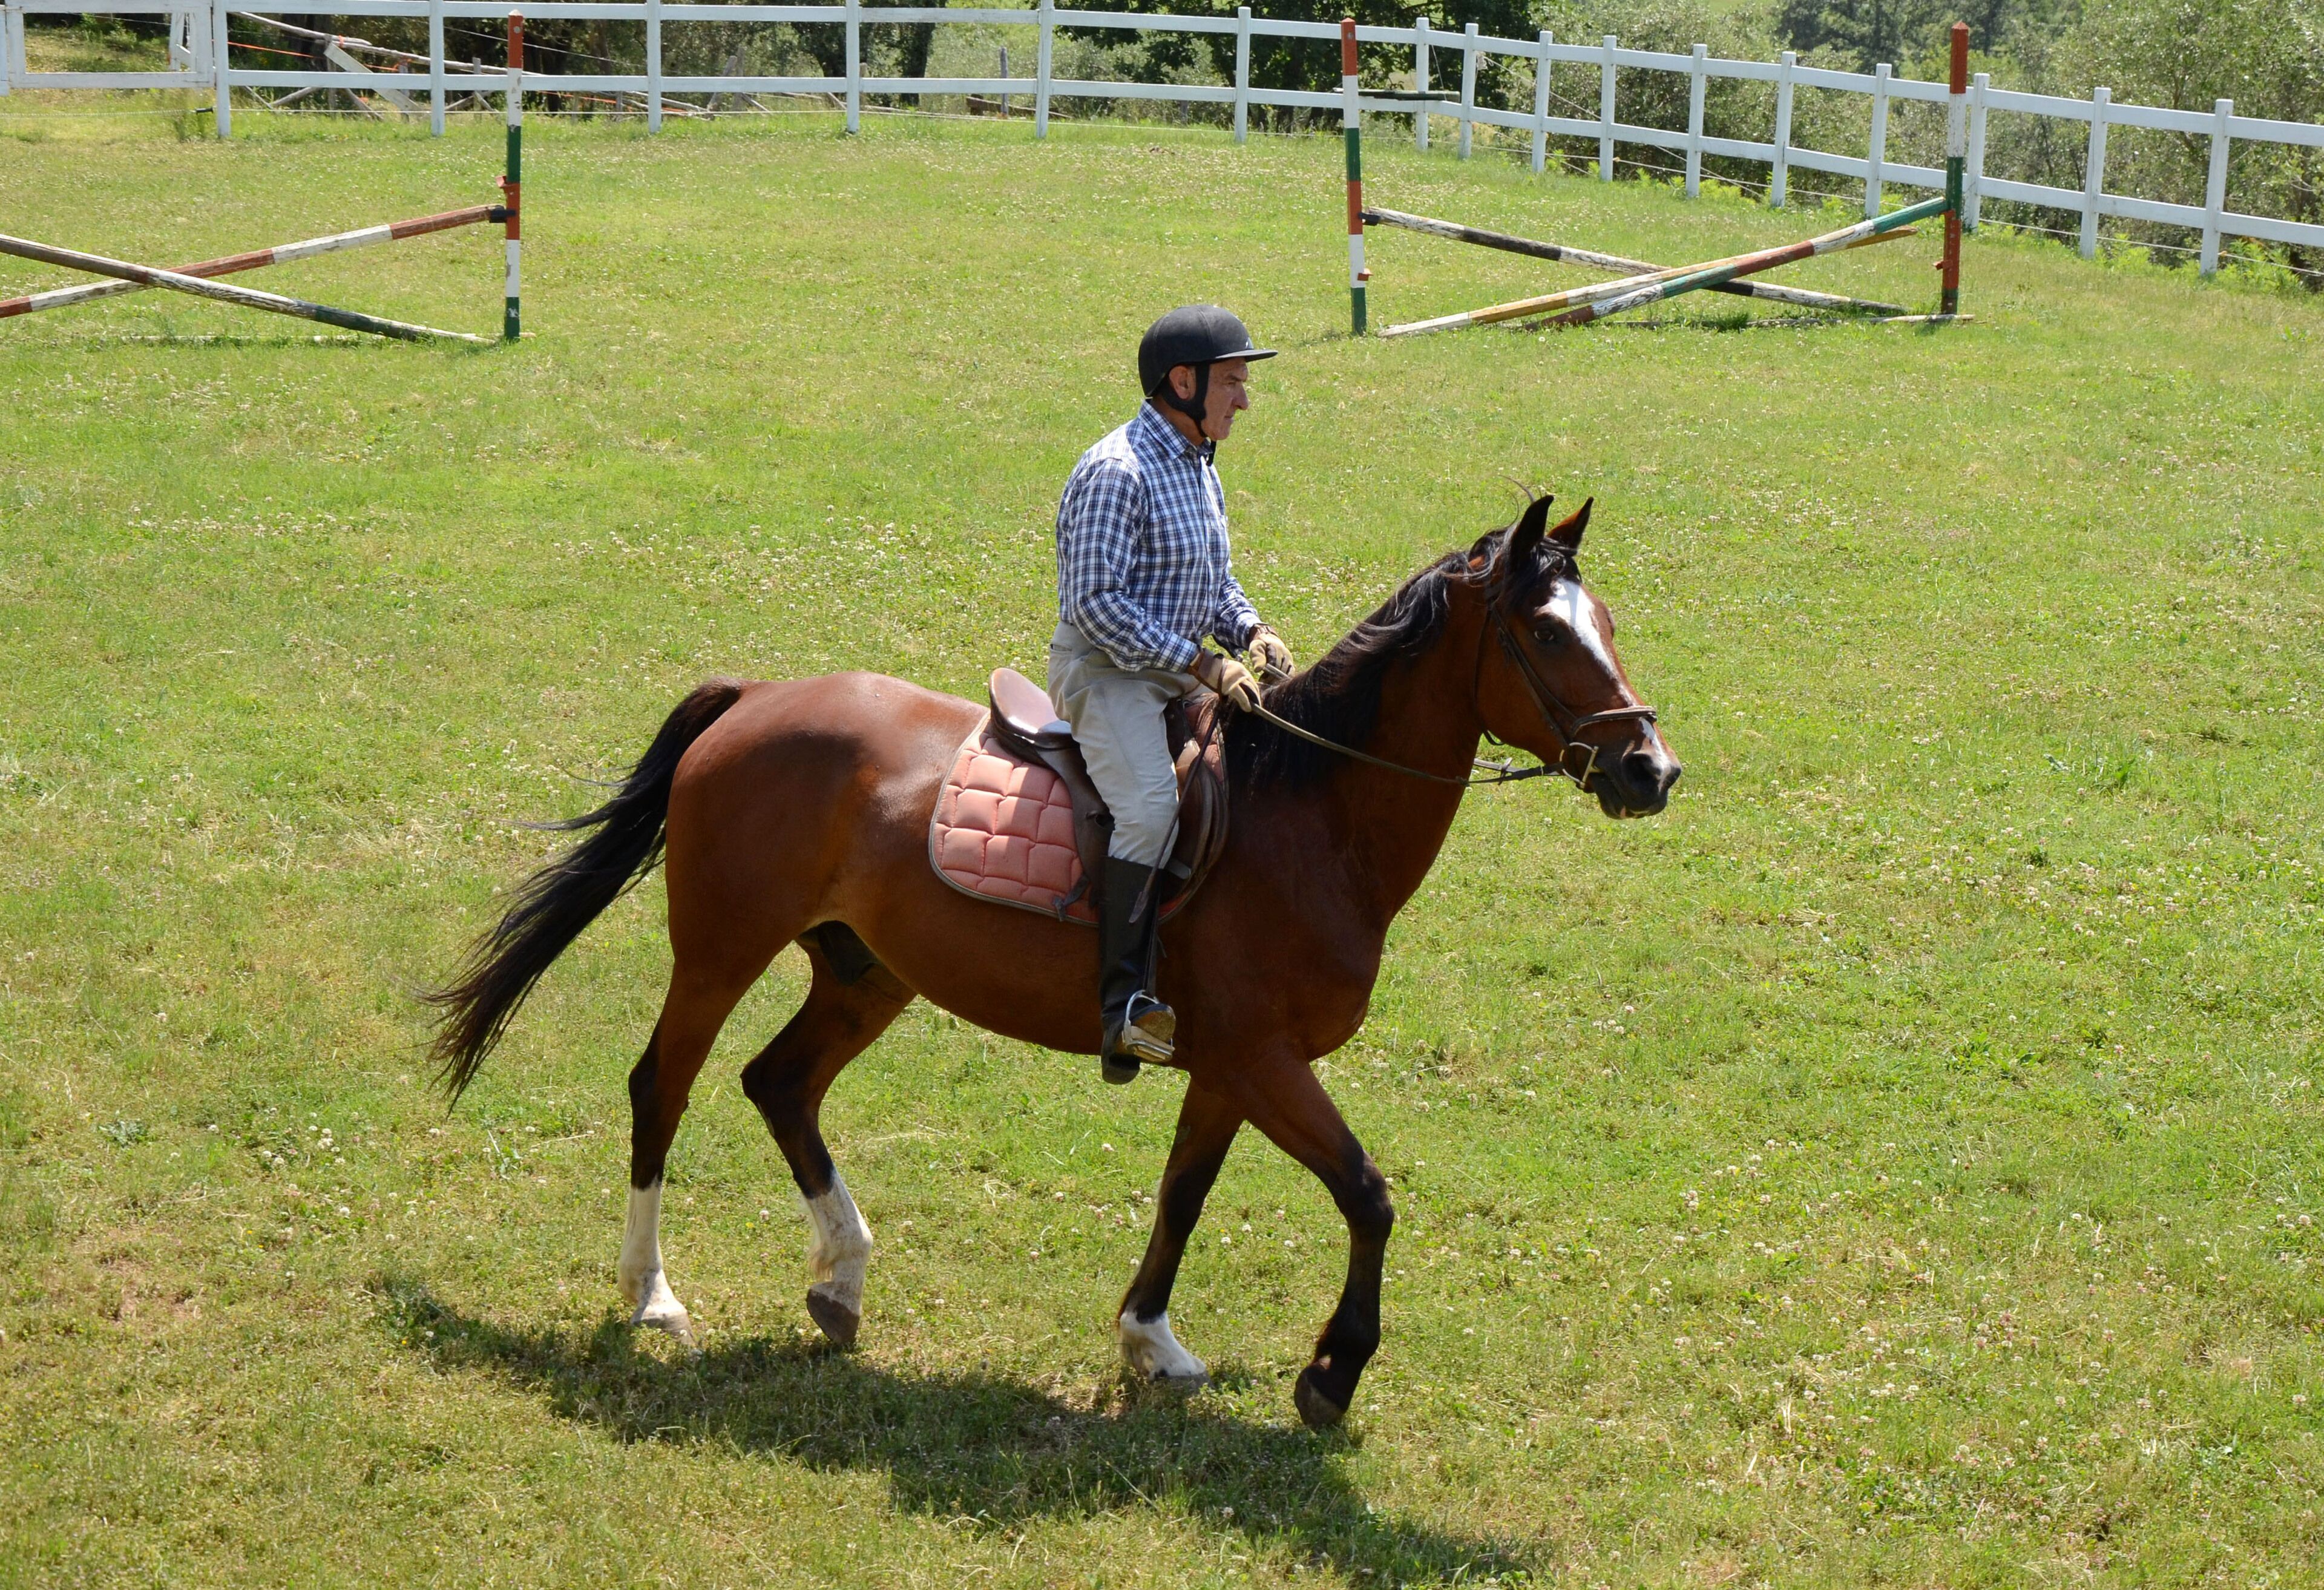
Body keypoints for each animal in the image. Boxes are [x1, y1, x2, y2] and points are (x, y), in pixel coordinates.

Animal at [425, 493, 1680, 1428]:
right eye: (1549, 633)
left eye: (1609, 620)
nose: (1652, 770)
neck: (1310, 813)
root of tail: (758, 697)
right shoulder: (1266, 1059)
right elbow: (1367, 1196)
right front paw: (1330, 1375)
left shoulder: (1228, 1067)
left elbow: (1185, 1193)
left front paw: (1150, 1340)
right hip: (723, 949)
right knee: (665, 1085)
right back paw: (654, 1295)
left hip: (866, 973)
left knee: (778, 1082)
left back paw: (842, 1278)